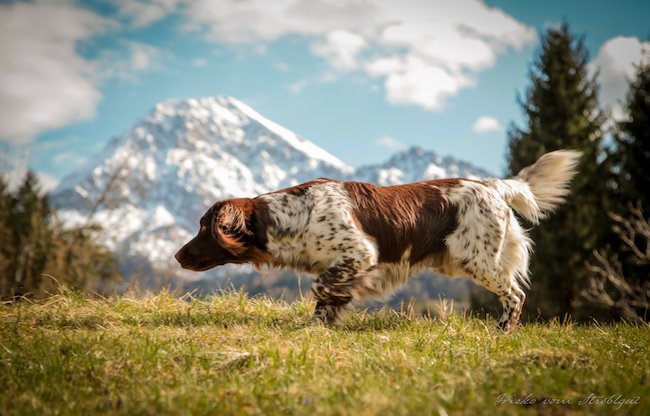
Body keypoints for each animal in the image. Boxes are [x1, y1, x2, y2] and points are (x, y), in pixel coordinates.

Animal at [175, 150, 580, 332]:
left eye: (204, 228)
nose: (178, 256)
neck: (294, 214)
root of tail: (494, 186)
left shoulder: (360, 253)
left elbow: (322, 287)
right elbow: (325, 301)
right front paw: (318, 326)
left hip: (476, 259)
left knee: (515, 295)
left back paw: (501, 331)